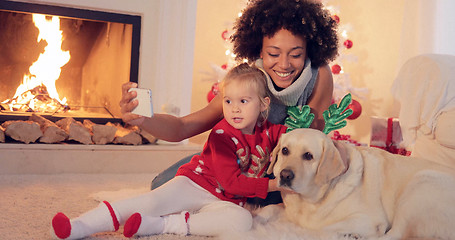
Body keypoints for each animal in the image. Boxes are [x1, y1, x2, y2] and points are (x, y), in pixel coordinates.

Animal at [266, 129, 455, 240]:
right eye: (285, 150)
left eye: (308, 156)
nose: (285, 175)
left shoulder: (368, 218)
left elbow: (323, 227)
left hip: (420, 183)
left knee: (395, 234)